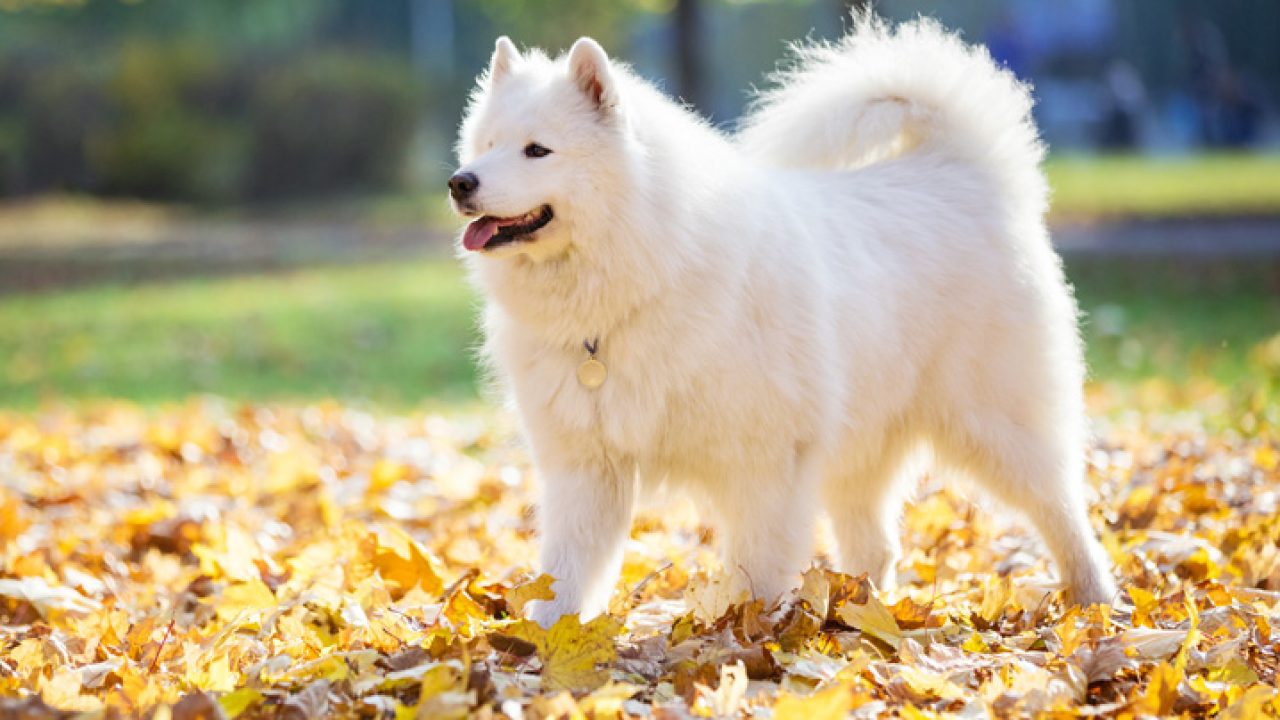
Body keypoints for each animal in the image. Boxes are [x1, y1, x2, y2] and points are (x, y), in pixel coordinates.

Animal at [455, 14, 1116, 625]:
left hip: (998, 426)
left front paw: (751, 640)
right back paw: (861, 615)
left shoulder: (765, 463)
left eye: (537, 150)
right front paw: (546, 642)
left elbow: (760, 568)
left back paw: (1096, 601)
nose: (461, 182)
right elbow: (566, 573)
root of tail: (962, 172)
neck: (645, 271)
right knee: (877, 548)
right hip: (862, 446)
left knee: (1062, 510)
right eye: (484, 146)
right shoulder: (587, 468)